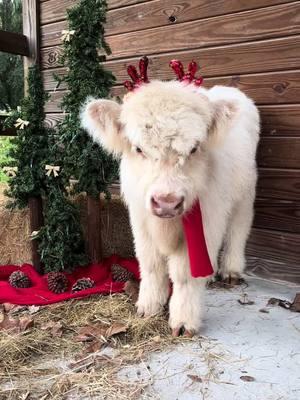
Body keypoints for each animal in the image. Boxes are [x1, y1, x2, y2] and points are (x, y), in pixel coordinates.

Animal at [82, 80, 260, 334]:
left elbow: (185, 274)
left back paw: (231, 270)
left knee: (238, 229)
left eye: (194, 148)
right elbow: (151, 264)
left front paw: (184, 320)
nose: (167, 202)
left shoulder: (204, 221)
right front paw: (148, 306)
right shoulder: (141, 221)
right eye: (138, 148)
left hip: (244, 195)